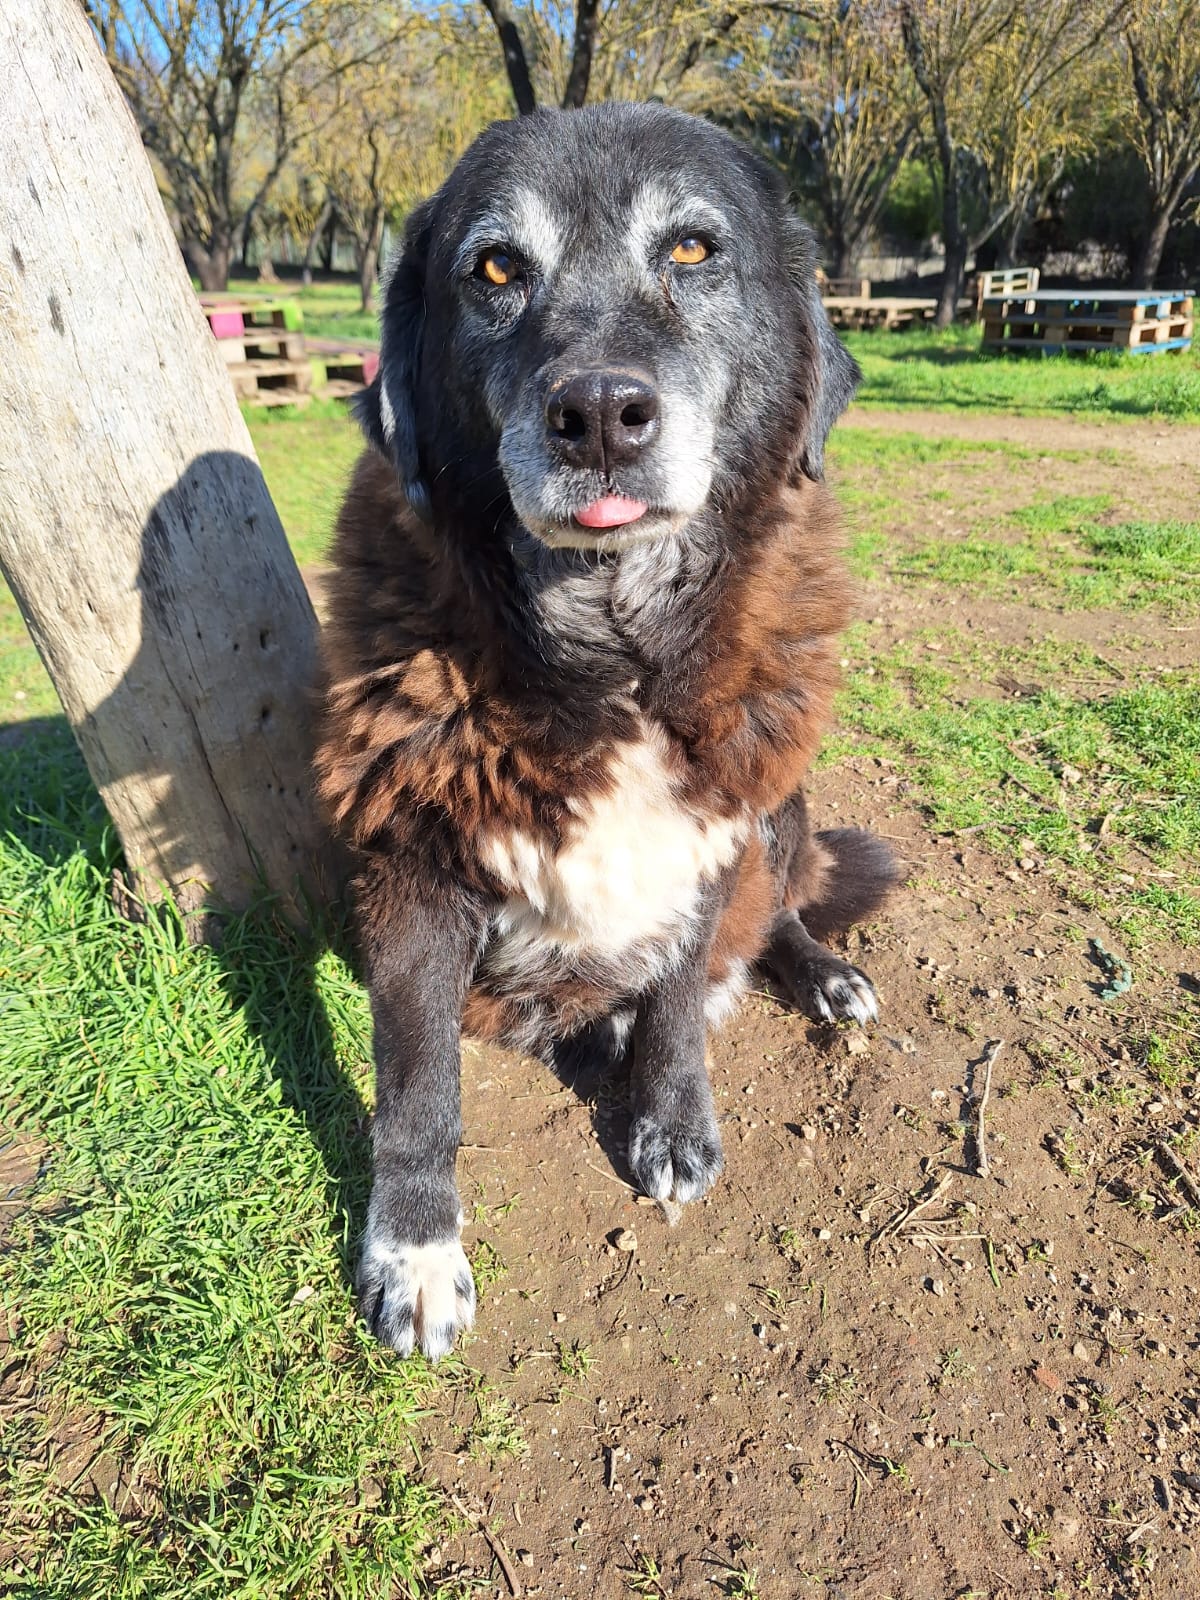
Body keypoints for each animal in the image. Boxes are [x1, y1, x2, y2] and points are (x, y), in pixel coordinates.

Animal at [315, 102, 897, 1360]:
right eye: (495, 268)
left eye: (692, 249)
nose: (596, 417)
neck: (614, 657)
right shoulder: (411, 868)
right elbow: (418, 1083)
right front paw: (415, 1251)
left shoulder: (714, 832)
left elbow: (678, 1005)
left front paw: (669, 1121)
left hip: (782, 802)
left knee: (785, 906)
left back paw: (822, 973)